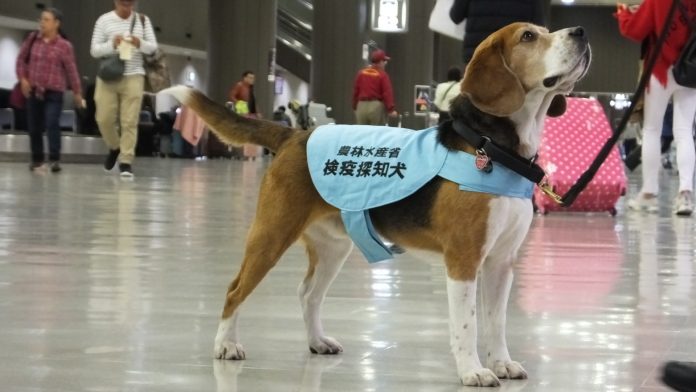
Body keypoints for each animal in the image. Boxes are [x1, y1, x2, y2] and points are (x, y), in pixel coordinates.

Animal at [162, 22, 588, 386]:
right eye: (529, 36)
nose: (580, 32)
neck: (492, 146)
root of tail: (294, 135)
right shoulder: (464, 260)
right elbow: (467, 324)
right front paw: (473, 371)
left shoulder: (501, 262)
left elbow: (496, 322)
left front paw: (501, 362)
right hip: (270, 235)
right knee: (235, 290)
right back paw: (225, 344)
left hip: (333, 247)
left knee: (308, 294)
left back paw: (317, 341)